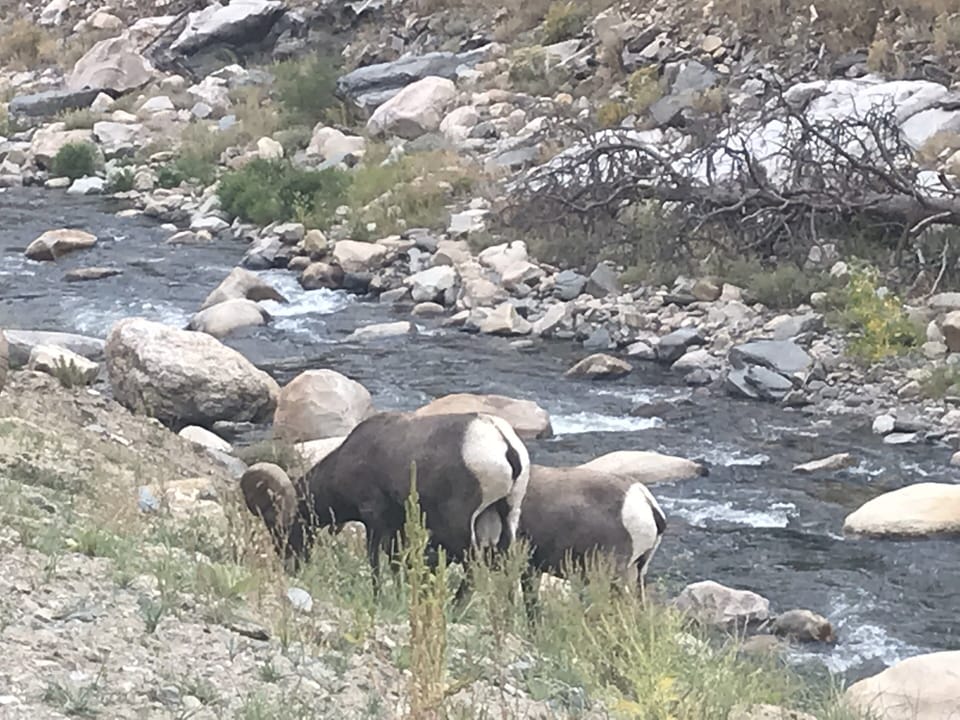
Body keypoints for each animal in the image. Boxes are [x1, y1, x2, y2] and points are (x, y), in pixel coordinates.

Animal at [240, 410, 531, 595]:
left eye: (282, 528)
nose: (290, 566)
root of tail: (505, 445)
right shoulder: (397, 526)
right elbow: (395, 562)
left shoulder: (374, 518)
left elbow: (375, 562)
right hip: (504, 517)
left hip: (459, 527)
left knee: (473, 570)